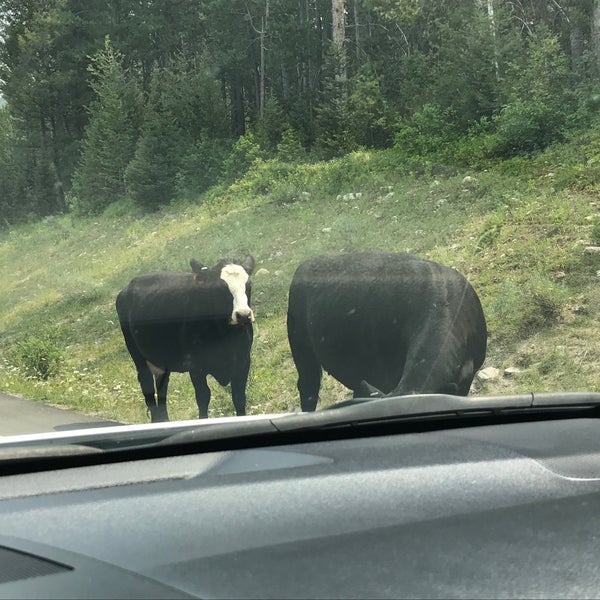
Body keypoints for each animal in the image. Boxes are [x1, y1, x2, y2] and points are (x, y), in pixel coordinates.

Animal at [116, 254, 255, 422]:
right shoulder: (195, 366)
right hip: (138, 357)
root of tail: (126, 288)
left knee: (162, 390)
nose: (243, 315)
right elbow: (203, 397)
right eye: (220, 288)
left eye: (248, 284)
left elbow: (239, 397)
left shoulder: (244, 360)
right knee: (148, 389)